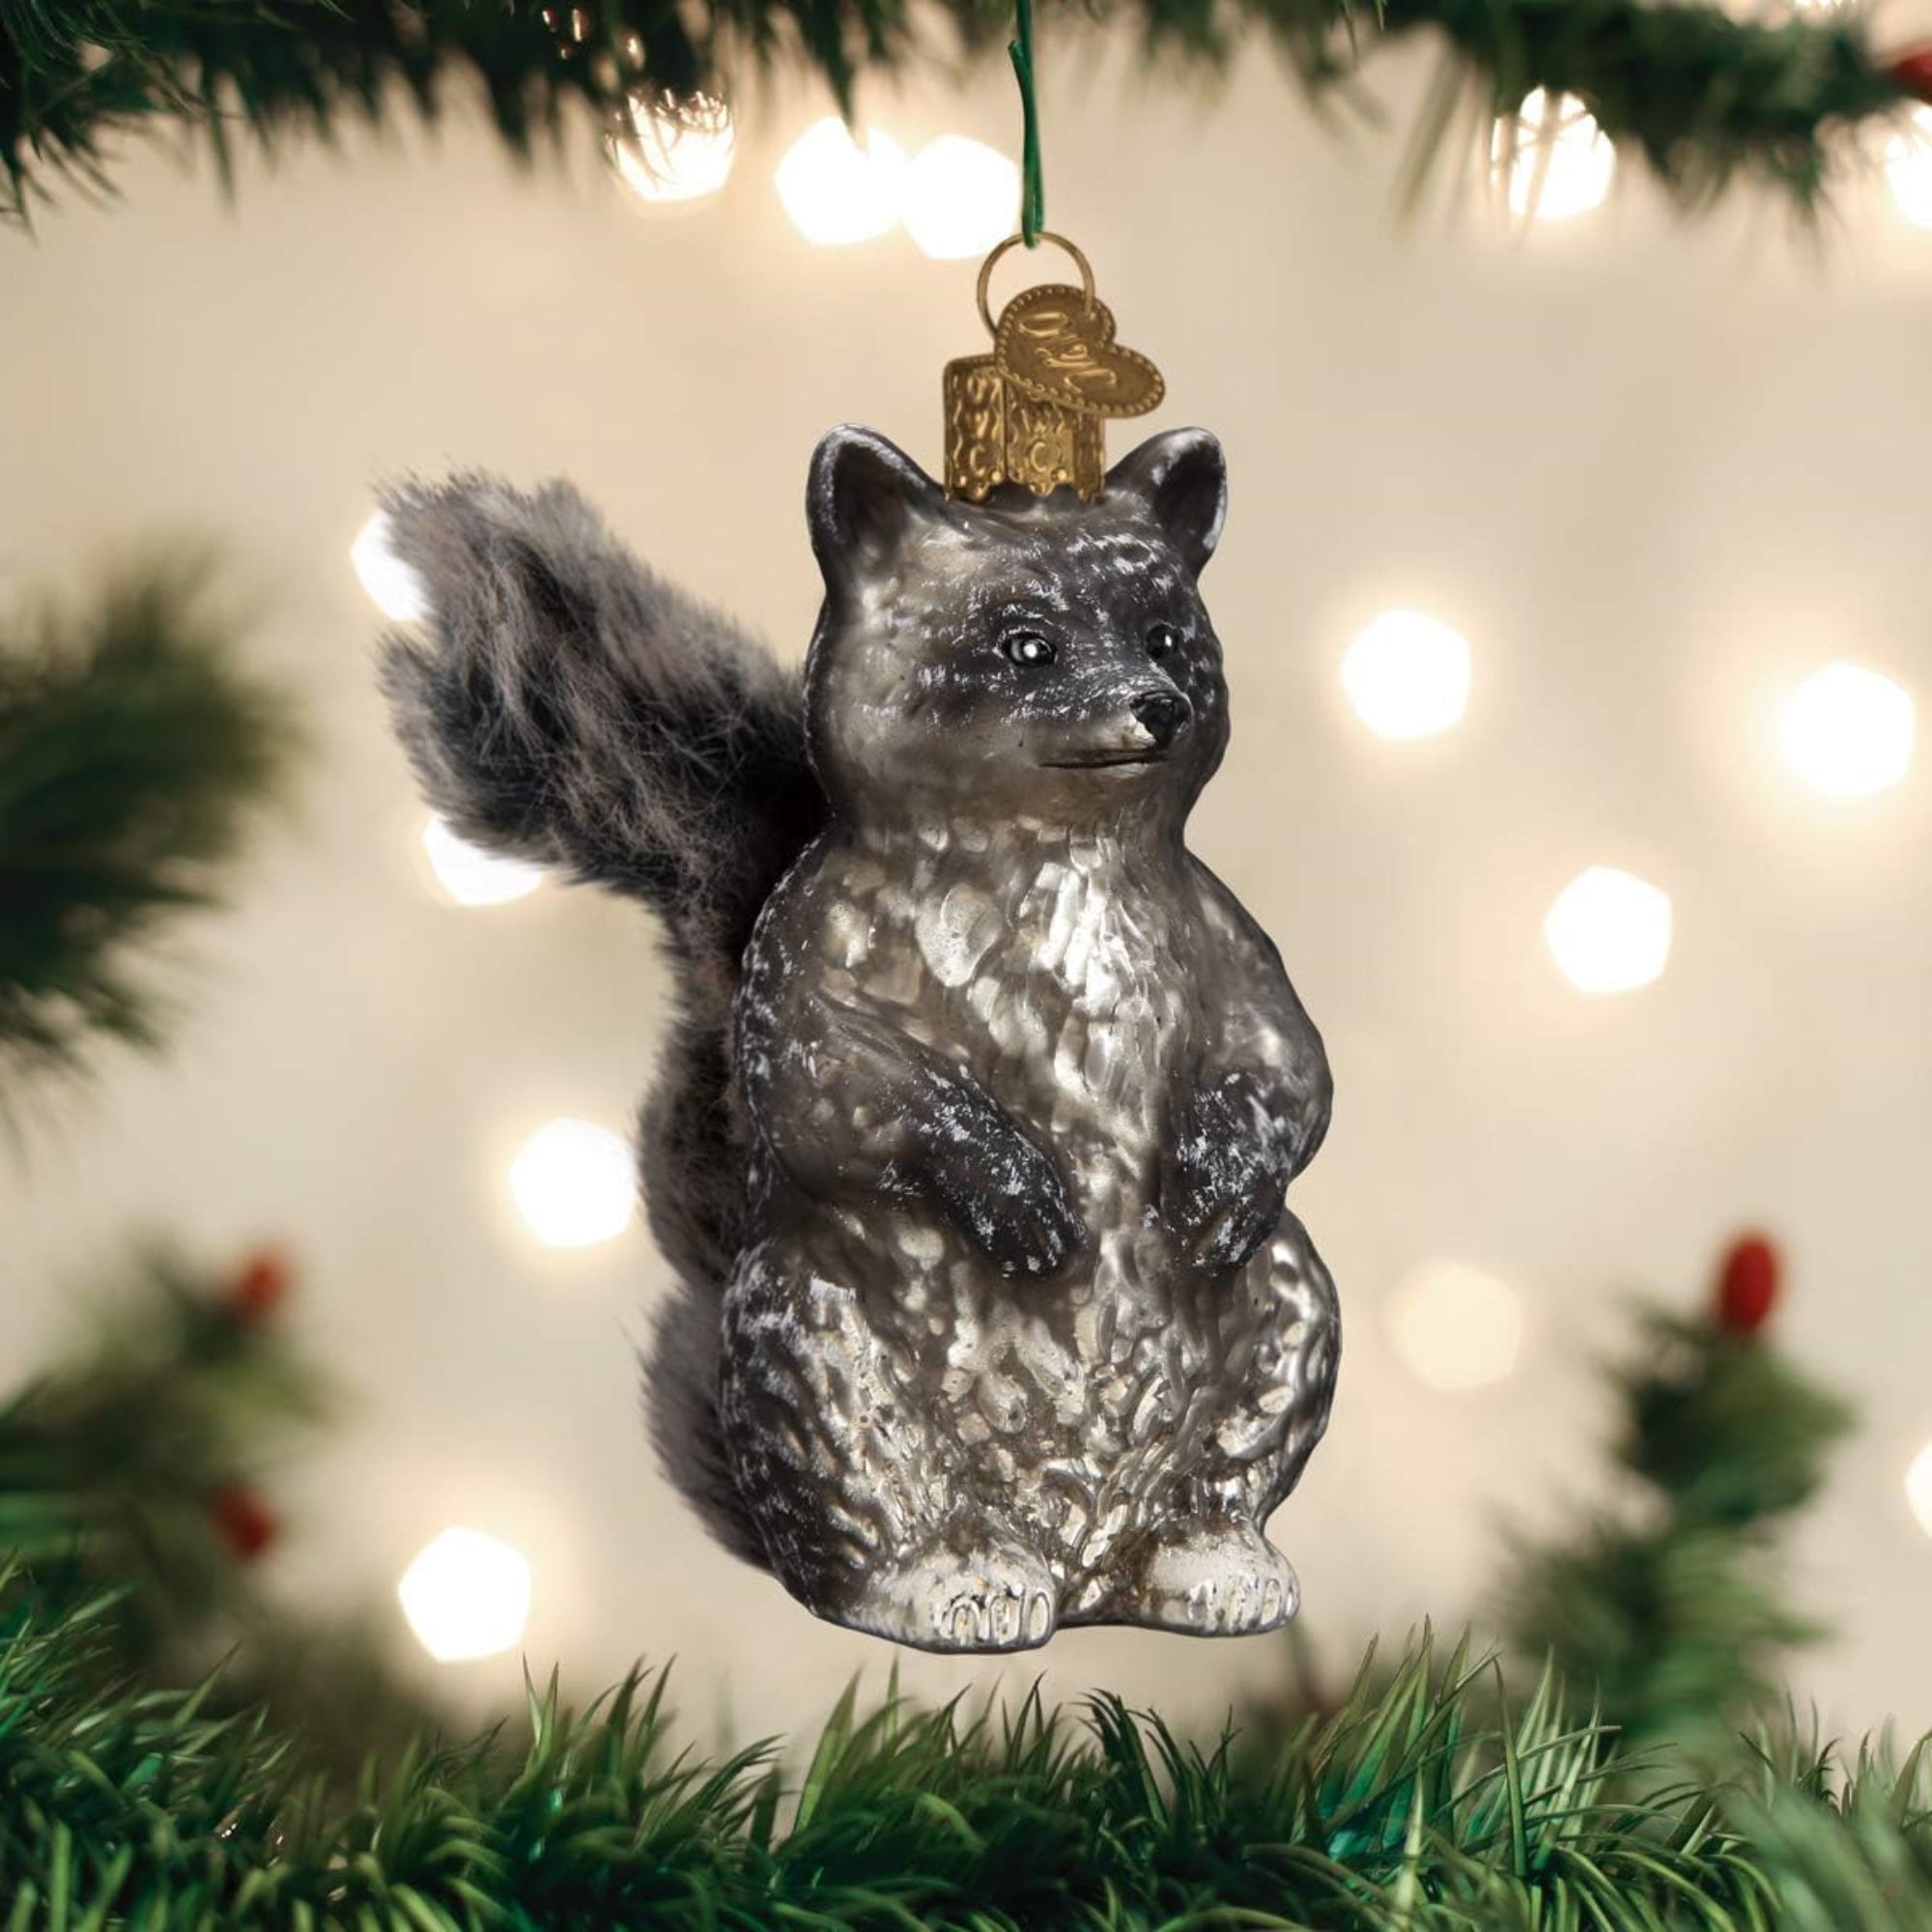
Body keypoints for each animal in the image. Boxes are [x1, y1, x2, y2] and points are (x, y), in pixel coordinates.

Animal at [381, 425, 1337, 1654]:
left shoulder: (1229, 942)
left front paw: (1215, 1183)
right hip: (818, 1356)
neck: (1051, 855)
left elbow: (1284, 1066)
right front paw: (1019, 1195)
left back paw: (1212, 1566)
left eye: (1173, 637)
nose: (1156, 702)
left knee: (1213, 1487)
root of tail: (1077, 1573)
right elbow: (843, 1089)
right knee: (872, 1547)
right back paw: (957, 1584)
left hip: (1287, 1310)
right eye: (1022, 644)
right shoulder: (802, 968)